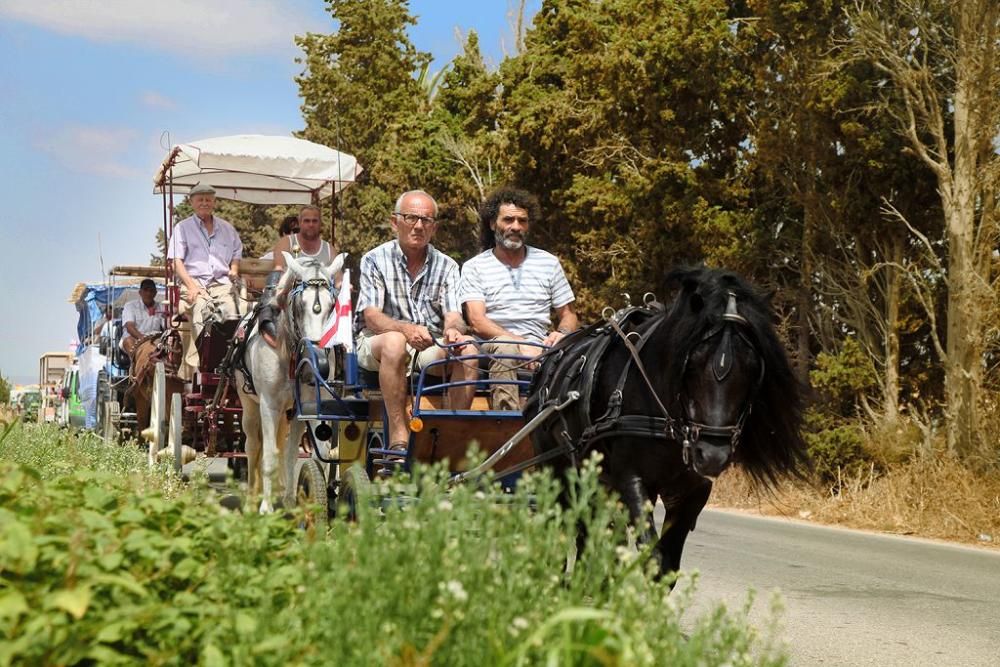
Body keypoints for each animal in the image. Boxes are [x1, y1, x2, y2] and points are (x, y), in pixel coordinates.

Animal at [236, 253, 346, 516]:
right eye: (299, 305)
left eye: (332, 306)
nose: (317, 364)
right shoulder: (268, 406)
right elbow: (268, 455)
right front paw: (265, 507)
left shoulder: (303, 408)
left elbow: (294, 453)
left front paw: (290, 500)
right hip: (249, 406)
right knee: (253, 446)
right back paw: (253, 498)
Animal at [528, 266, 808, 580]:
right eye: (693, 363)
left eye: (752, 367)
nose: (712, 454)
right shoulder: (631, 479)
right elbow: (652, 556)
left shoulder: (692, 488)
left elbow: (667, 564)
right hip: (557, 467)